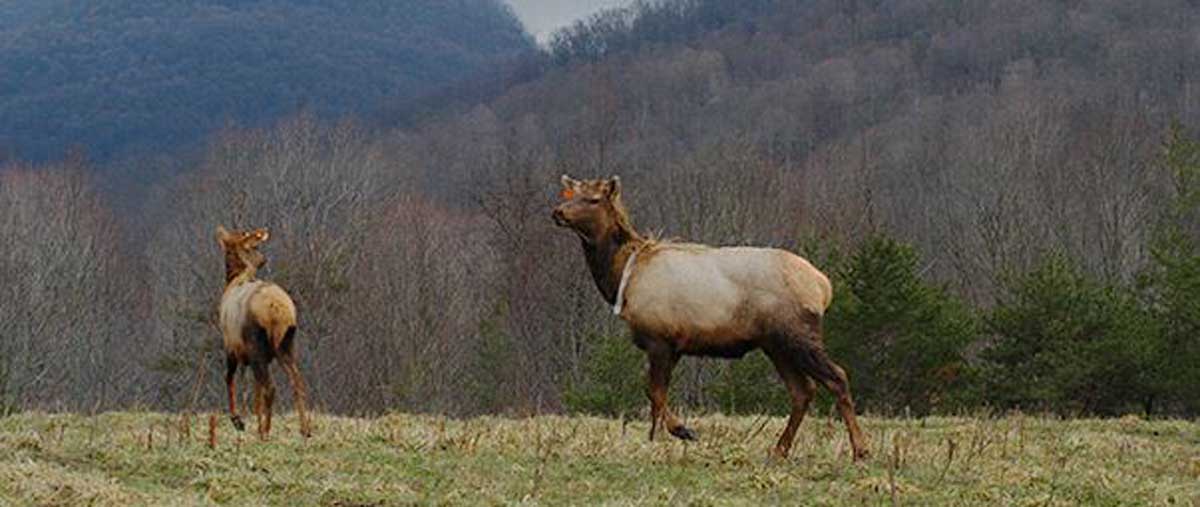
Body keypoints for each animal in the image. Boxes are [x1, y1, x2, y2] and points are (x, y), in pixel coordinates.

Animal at [551, 175, 868, 461]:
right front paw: (661, 436)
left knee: (836, 377)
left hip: (797, 335)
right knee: (803, 390)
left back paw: (860, 450)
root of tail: (823, 286)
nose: (558, 212)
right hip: (775, 345)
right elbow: (653, 393)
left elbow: (655, 392)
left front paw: (678, 432)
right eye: (572, 193)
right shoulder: (673, 346)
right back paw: (780, 449)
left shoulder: (660, 339)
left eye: (593, 199)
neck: (620, 280)